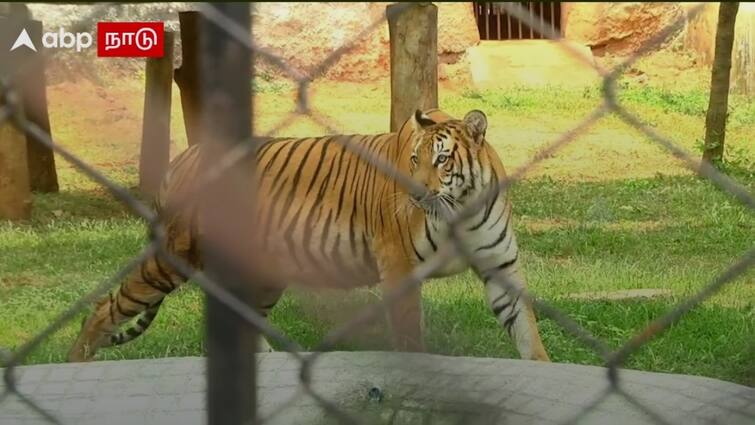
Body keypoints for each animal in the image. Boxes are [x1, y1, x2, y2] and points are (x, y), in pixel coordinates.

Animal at [68, 108, 552, 362]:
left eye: (442, 160)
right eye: (414, 159)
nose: (415, 192)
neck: (461, 208)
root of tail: (184, 157)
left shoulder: (502, 268)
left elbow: (527, 332)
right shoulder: (398, 268)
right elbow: (409, 336)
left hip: (261, 273)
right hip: (173, 258)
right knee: (106, 307)